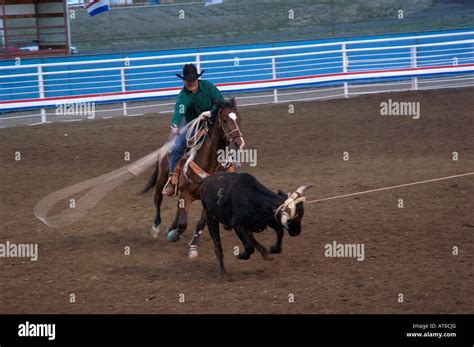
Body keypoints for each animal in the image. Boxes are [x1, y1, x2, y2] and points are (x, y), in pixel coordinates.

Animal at [141, 98, 244, 258]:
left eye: (238, 118)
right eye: (225, 120)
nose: (239, 143)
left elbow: (200, 222)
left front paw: (193, 246)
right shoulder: (187, 194)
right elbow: (183, 223)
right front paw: (174, 235)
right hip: (162, 178)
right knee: (158, 198)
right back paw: (156, 228)